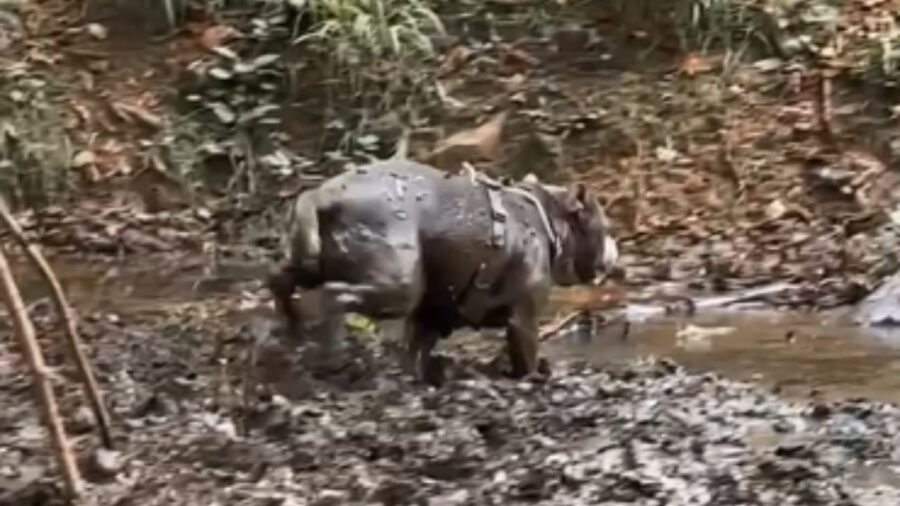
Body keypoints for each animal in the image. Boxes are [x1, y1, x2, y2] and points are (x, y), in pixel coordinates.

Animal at [268, 160, 620, 386]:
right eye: (605, 227)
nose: (615, 247)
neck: (546, 218)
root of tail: (322, 195)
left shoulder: (432, 315)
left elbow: (415, 347)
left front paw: (415, 377)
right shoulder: (524, 313)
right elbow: (526, 349)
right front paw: (534, 377)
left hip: (311, 261)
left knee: (280, 278)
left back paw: (293, 329)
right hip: (398, 283)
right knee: (334, 296)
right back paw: (333, 355)